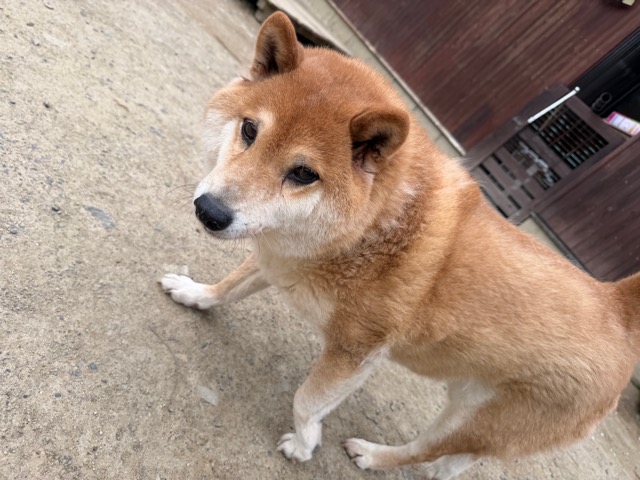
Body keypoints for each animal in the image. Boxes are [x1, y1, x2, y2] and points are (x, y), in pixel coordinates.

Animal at [160, 12, 640, 479]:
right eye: (249, 130)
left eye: (303, 174)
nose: (210, 211)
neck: (371, 229)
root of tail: (617, 305)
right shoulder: (277, 260)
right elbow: (229, 286)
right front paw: (194, 293)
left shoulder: (354, 353)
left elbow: (306, 401)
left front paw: (303, 444)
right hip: (473, 410)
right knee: (447, 463)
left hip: (477, 420)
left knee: (426, 449)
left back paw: (372, 455)